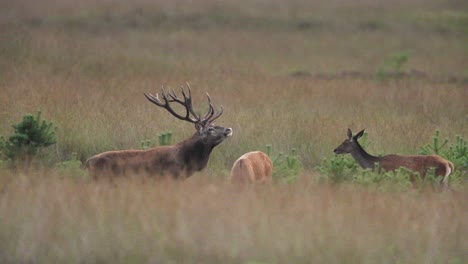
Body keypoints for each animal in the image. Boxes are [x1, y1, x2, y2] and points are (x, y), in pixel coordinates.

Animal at [85, 84, 232, 179]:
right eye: (210, 129)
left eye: (213, 124)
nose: (229, 129)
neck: (186, 161)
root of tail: (88, 162)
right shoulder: (170, 176)